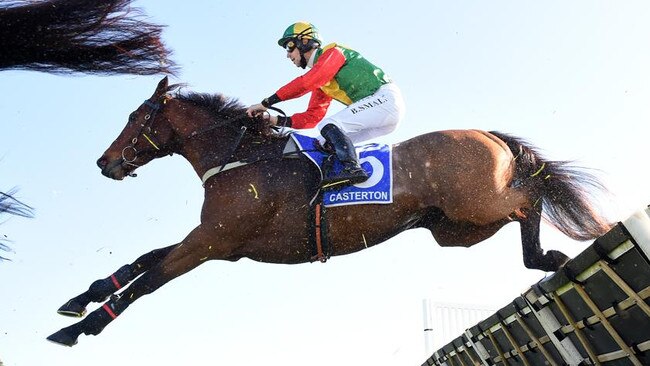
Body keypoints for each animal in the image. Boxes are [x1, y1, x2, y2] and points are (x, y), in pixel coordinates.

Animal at [46, 76, 612, 346]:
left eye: (136, 116)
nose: (105, 162)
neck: (241, 156)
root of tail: (486, 133)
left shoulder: (212, 242)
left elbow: (150, 277)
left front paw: (77, 330)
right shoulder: (218, 241)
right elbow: (142, 261)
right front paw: (77, 301)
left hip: (476, 202)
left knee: (530, 197)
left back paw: (545, 257)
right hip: (455, 227)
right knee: (519, 209)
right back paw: (544, 258)